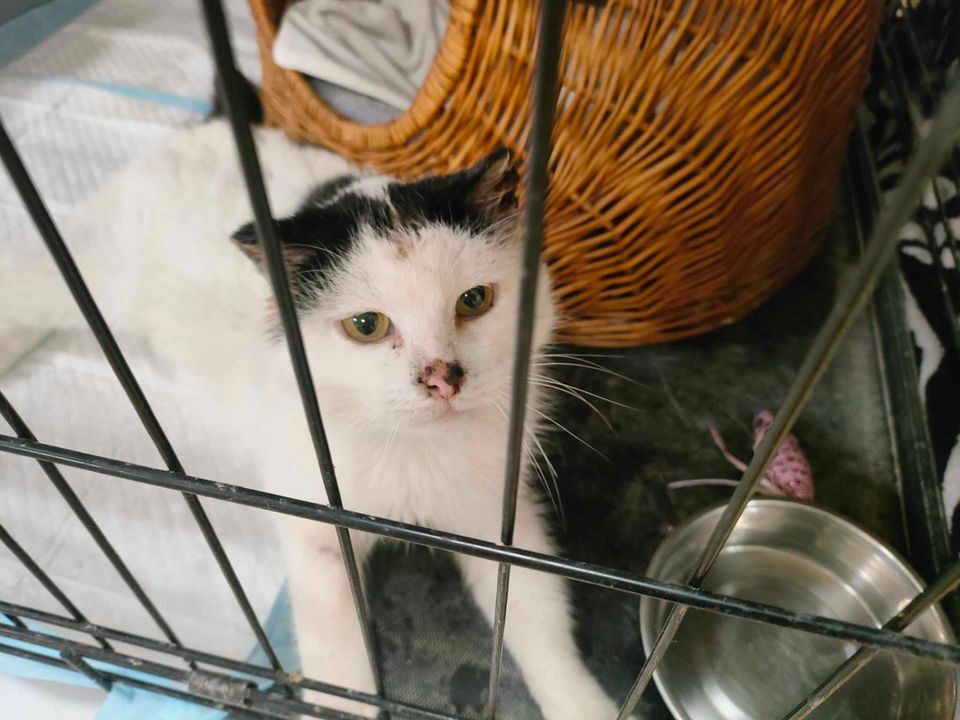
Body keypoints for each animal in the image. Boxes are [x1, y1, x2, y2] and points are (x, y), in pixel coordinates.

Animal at [0, 120, 617, 719]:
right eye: (366, 325)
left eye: (475, 299)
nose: (443, 378)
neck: (408, 444)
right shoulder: (318, 527)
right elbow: (337, 655)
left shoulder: (496, 514)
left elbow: (534, 607)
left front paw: (583, 703)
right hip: (94, 268)